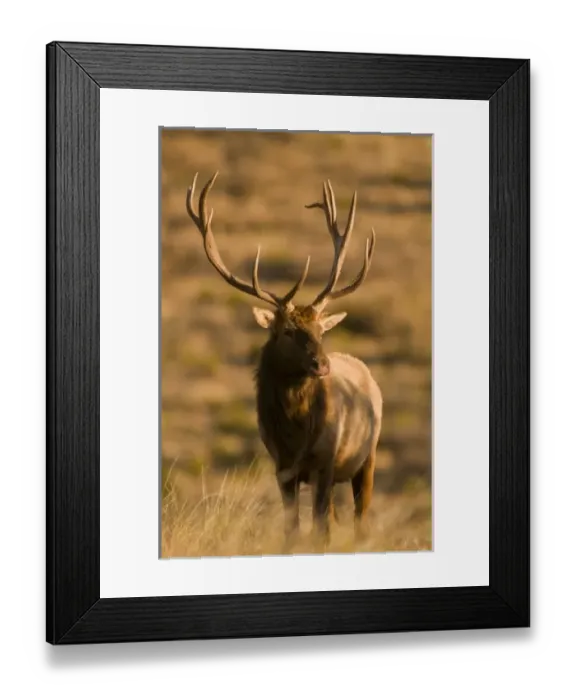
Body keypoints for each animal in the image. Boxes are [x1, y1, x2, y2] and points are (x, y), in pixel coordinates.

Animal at [185, 172, 382, 551]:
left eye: (321, 330)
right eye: (288, 331)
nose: (322, 365)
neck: (295, 433)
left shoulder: (325, 462)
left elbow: (321, 530)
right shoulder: (281, 467)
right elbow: (293, 529)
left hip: (367, 456)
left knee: (361, 519)